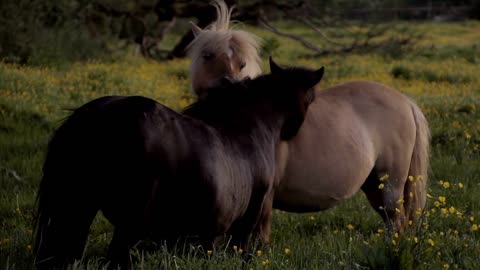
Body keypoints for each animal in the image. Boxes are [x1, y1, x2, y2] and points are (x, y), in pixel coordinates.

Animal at [33, 58, 324, 268]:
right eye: (311, 99)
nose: (294, 132)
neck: (247, 127)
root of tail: (93, 114)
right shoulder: (248, 217)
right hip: (128, 223)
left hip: (79, 210)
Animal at [186, 2, 430, 243]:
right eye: (206, 55)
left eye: (242, 63)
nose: (228, 85)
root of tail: (405, 101)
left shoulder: (264, 199)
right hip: (373, 185)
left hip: (391, 183)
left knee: (396, 221)